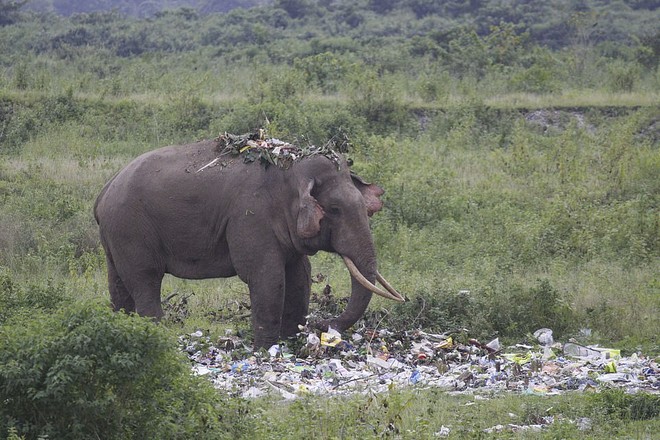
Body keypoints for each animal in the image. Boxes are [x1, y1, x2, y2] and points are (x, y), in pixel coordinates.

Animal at [94, 136, 402, 348]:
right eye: (335, 210)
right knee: (145, 280)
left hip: (114, 235)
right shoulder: (251, 215)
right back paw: (157, 336)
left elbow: (300, 275)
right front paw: (266, 350)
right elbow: (267, 276)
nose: (322, 324)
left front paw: (289, 343)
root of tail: (104, 190)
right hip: (130, 228)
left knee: (118, 284)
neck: (290, 168)